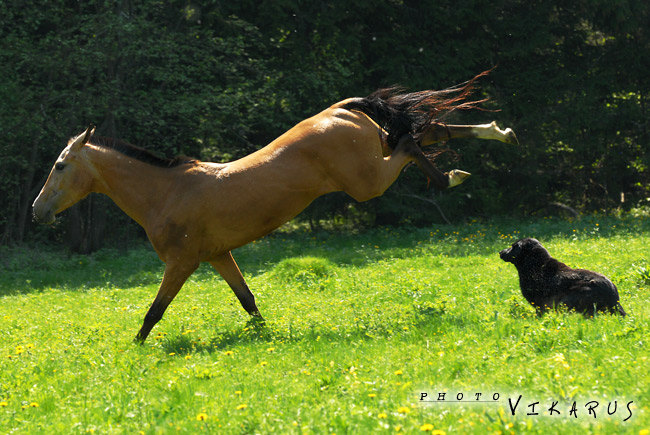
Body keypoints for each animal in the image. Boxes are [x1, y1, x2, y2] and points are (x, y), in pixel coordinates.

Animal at [31, 76, 516, 344]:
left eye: (60, 165)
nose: (37, 211)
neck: (167, 192)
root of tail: (340, 109)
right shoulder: (217, 256)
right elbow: (248, 301)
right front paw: (268, 337)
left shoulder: (182, 263)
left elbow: (154, 311)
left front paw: (133, 349)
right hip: (374, 152)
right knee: (426, 130)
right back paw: (498, 132)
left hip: (367, 182)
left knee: (411, 143)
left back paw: (453, 176)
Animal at [496, 238, 624, 316]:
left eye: (513, 246)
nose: (500, 252)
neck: (535, 265)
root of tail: (613, 295)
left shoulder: (541, 304)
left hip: (569, 299)